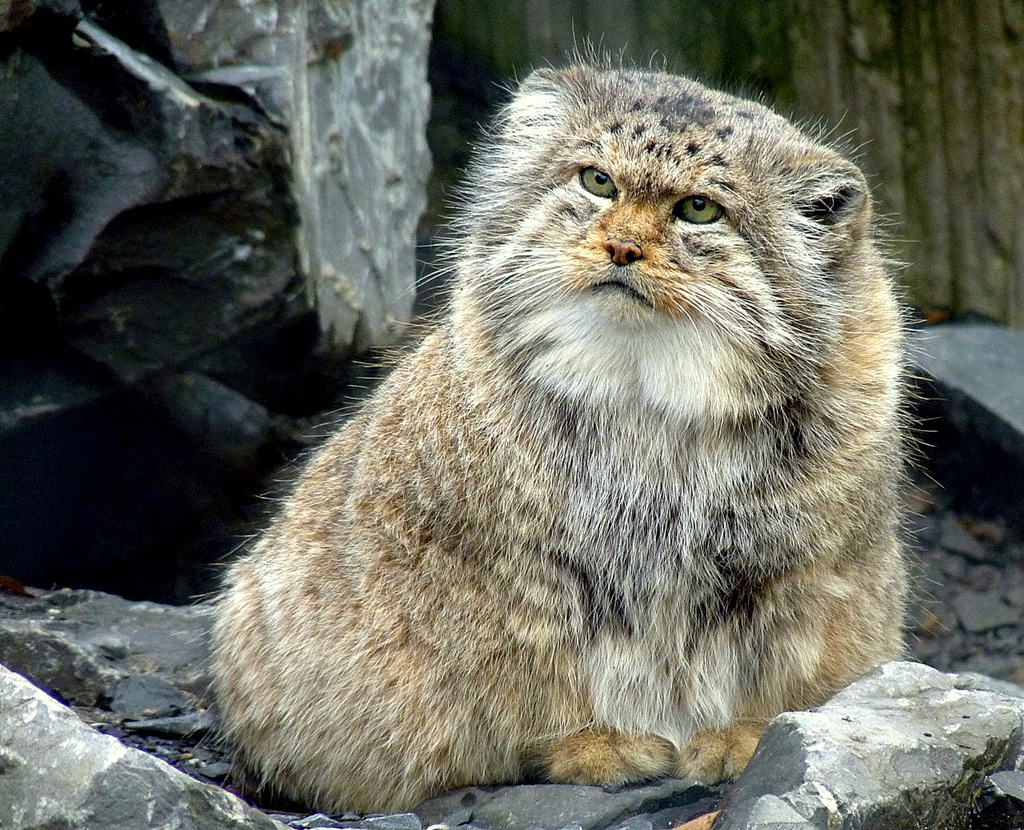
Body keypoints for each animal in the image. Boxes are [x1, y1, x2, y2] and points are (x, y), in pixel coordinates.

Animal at [207, 63, 905, 810]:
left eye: (699, 209)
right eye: (597, 181)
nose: (621, 247)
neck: (647, 395)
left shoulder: (809, 576)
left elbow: (783, 663)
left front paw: (746, 734)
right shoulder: (504, 579)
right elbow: (531, 674)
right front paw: (592, 743)